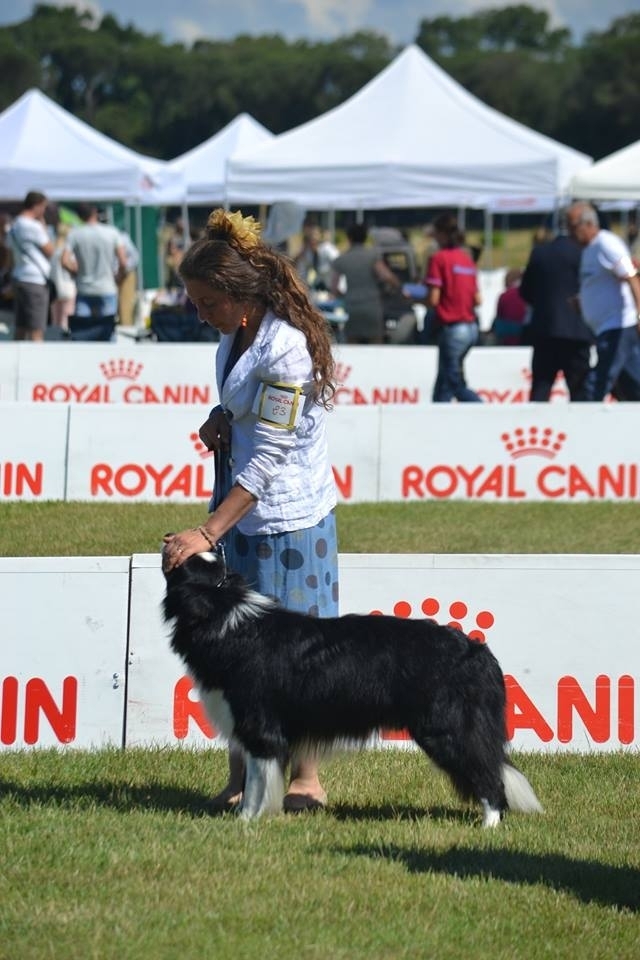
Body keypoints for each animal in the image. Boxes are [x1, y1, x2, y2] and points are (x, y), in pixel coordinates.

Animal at [162, 548, 544, 824]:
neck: (225, 612)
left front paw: (246, 822)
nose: (168, 537)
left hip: (448, 729)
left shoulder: (260, 726)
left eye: (182, 563)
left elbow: (258, 782)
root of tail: (477, 650)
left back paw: (489, 825)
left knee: (488, 775)